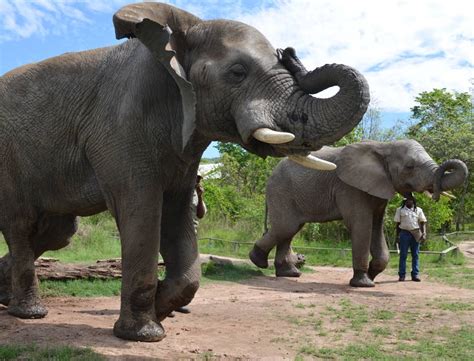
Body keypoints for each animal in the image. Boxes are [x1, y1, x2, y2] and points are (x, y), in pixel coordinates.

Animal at [0, 2, 370, 340]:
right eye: (238, 73)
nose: (289, 52)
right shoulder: (121, 128)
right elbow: (141, 210)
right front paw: (143, 334)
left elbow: (177, 216)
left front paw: (163, 308)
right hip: (9, 158)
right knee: (22, 224)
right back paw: (30, 313)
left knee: (56, 231)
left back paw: (6, 297)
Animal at [250, 139, 468, 286]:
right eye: (409, 167)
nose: (436, 193)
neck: (384, 147)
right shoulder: (350, 187)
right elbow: (361, 224)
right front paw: (364, 283)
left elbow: (376, 226)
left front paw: (371, 276)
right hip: (281, 191)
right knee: (286, 227)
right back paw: (258, 261)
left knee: (290, 229)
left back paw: (289, 274)